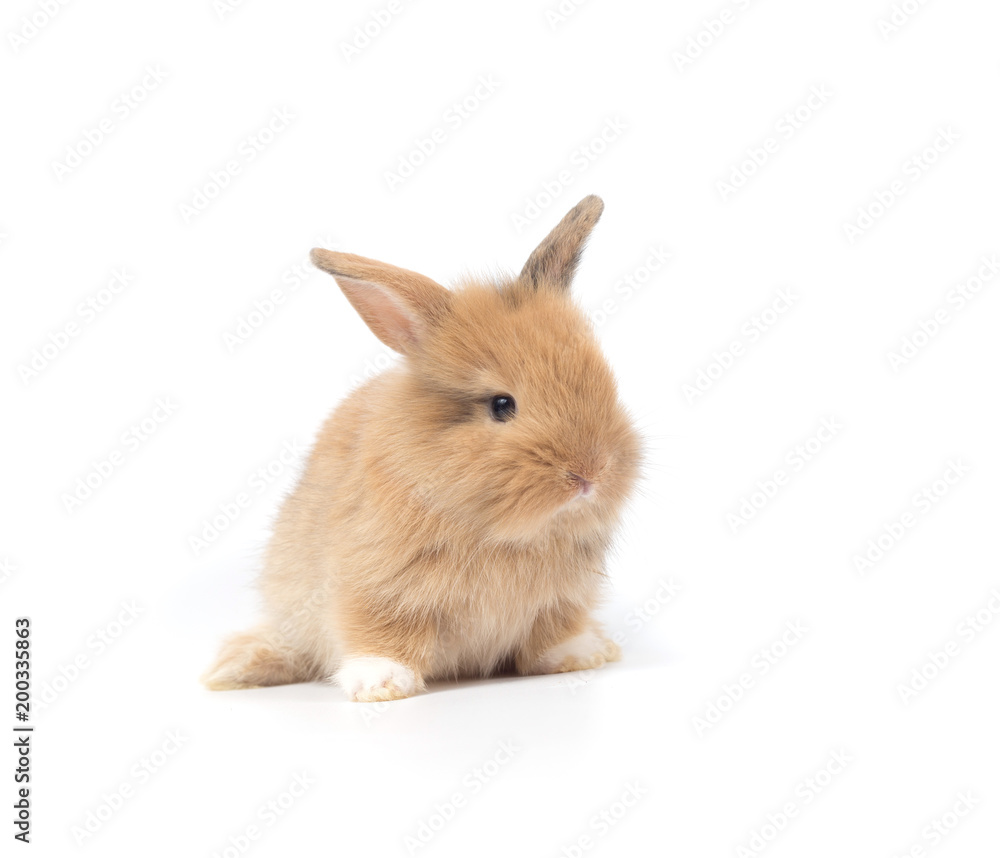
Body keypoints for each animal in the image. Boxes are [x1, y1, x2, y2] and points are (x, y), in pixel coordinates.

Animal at [201, 195, 641, 702]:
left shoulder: (561, 600)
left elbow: (553, 634)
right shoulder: (373, 585)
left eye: (605, 385)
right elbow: (380, 632)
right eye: (501, 405)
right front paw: (380, 683)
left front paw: (578, 657)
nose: (591, 474)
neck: (504, 532)